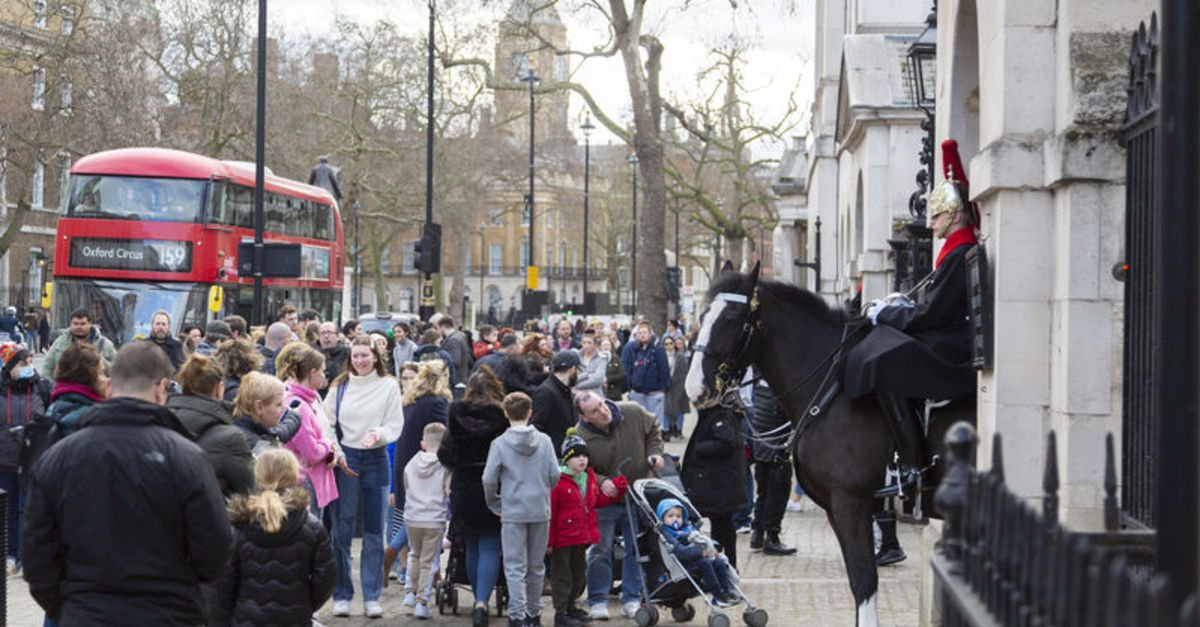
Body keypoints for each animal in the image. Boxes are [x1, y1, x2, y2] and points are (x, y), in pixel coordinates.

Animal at [686, 261, 974, 624]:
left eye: (731, 319)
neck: (831, 391)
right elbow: (856, 581)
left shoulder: (851, 503)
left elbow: (864, 580)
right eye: (702, 314)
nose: (695, 388)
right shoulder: (836, 509)